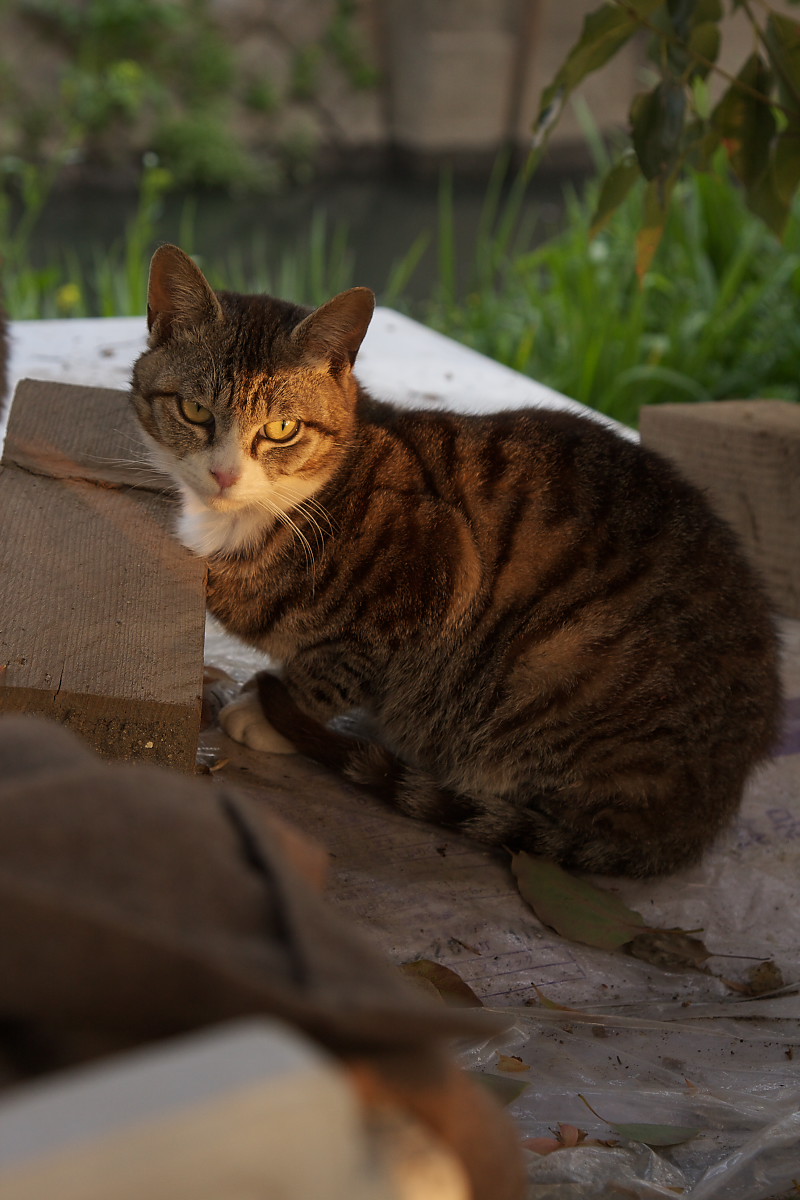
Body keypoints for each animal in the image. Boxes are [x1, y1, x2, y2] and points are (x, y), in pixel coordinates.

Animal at [131, 246, 782, 883]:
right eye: (194, 410)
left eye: (282, 428)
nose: (224, 474)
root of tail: (709, 809)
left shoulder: (428, 588)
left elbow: (331, 671)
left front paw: (268, 711)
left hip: (554, 671)